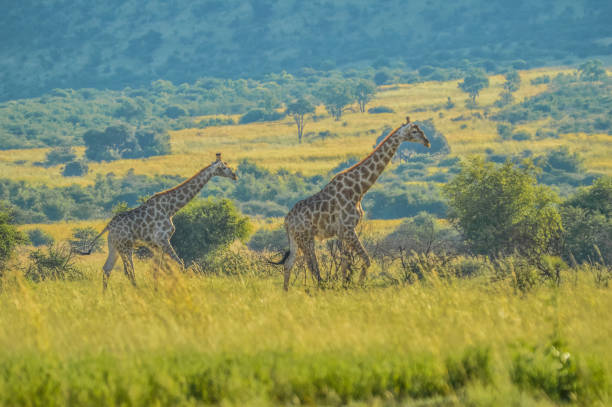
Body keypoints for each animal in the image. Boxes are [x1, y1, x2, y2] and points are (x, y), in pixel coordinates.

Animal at [77, 154, 239, 290]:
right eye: (224, 167)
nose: (235, 175)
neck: (171, 208)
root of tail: (108, 226)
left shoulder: (156, 244)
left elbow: (158, 269)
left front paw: (157, 290)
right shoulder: (162, 239)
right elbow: (179, 264)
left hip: (114, 246)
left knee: (107, 269)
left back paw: (104, 295)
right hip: (126, 246)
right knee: (128, 271)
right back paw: (137, 293)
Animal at [272, 118, 430, 290]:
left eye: (420, 130)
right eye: (414, 131)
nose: (427, 142)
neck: (358, 190)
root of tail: (287, 220)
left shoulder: (343, 232)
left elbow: (345, 263)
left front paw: (346, 286)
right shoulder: (348, 229)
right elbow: (365, 259)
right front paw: (357, 285)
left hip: (297, 238)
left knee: (289, 264)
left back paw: (286, 292)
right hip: (305, 238)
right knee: (311, 265)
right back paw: (321, 287)